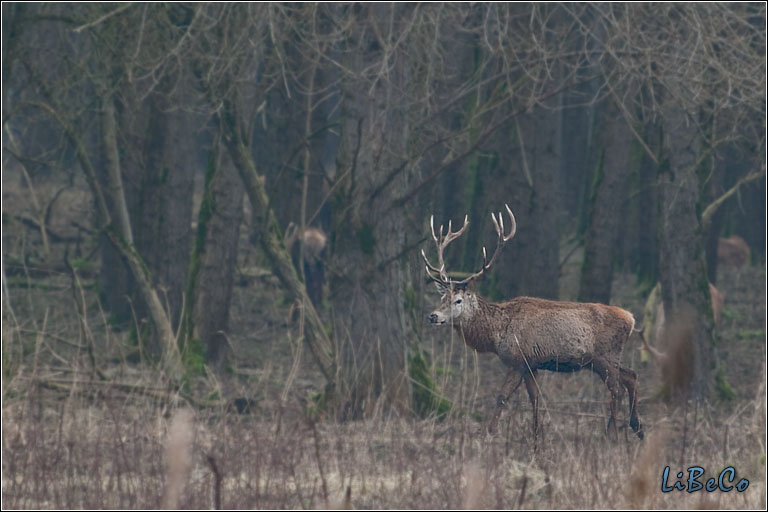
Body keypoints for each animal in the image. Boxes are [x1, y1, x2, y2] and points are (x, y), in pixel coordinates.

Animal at [424, 206, 644, 442]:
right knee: (631, 375)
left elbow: (502, 396)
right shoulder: (532, 364)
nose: (433, 316)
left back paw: (612, 434)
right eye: (442, 297)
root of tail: (631, 319)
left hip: (605, 355)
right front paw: (537, 437)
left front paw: (489, 433)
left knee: (616, 388)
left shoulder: (518, 360)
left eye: (458, 300)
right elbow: (535, 398)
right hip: (599, 360)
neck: (497, 334)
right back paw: (637, 428)